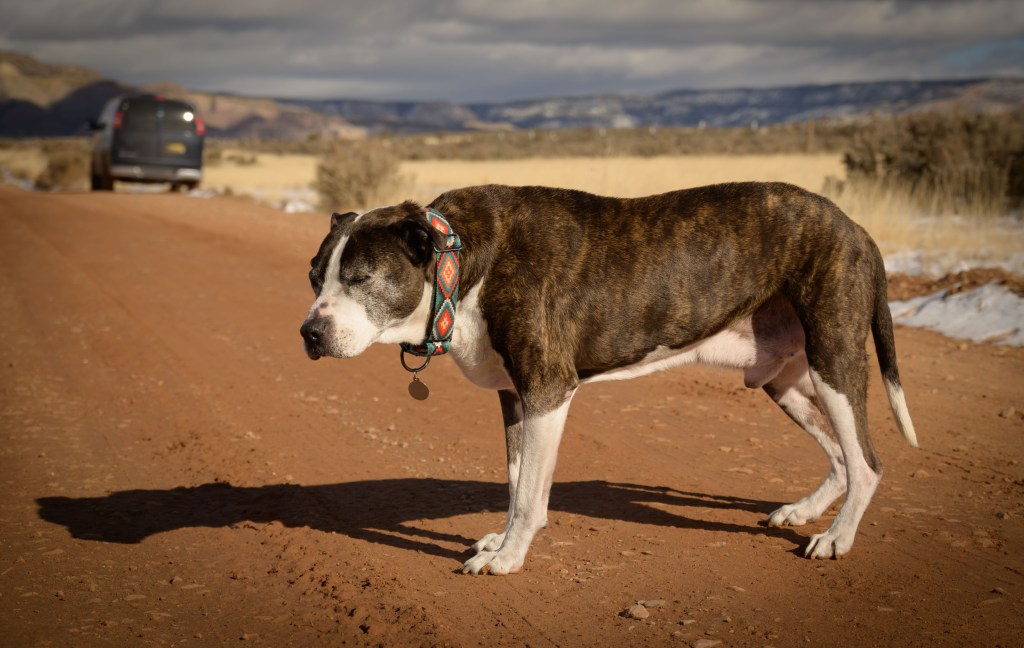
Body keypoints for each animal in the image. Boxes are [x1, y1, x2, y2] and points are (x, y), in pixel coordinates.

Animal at [300, 182, 918, 575]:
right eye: (313, 276)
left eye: (361, 278)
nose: (309, 333)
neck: (462, 261)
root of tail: (857, 229)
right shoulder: (515, 398)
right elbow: (516, 483)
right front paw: (502, 539)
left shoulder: (547, 391)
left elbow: (530, 494)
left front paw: (507, 558)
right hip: (784, 379)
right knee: (841, 454)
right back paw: (805, 511)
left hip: (833, 357)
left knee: (867, 461)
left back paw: (835, 538)